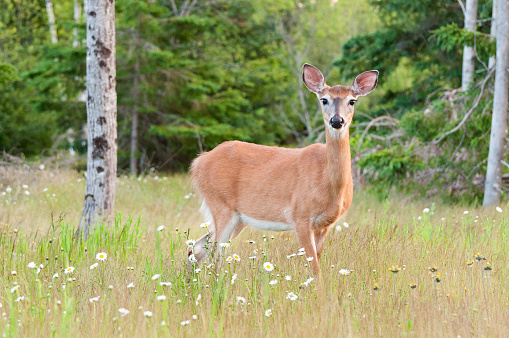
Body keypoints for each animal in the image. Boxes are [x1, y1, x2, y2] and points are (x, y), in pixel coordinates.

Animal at [188, 63, 378, 274]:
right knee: (215, 254)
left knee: (198, 247)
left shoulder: (325, 224)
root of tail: (198, 162)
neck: (329, 182)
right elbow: (314, 268)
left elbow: (317, 262)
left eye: (352, 101)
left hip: (238, 217)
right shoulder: (300, 216)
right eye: (324, 100)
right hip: (220, 204)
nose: (337, 121)